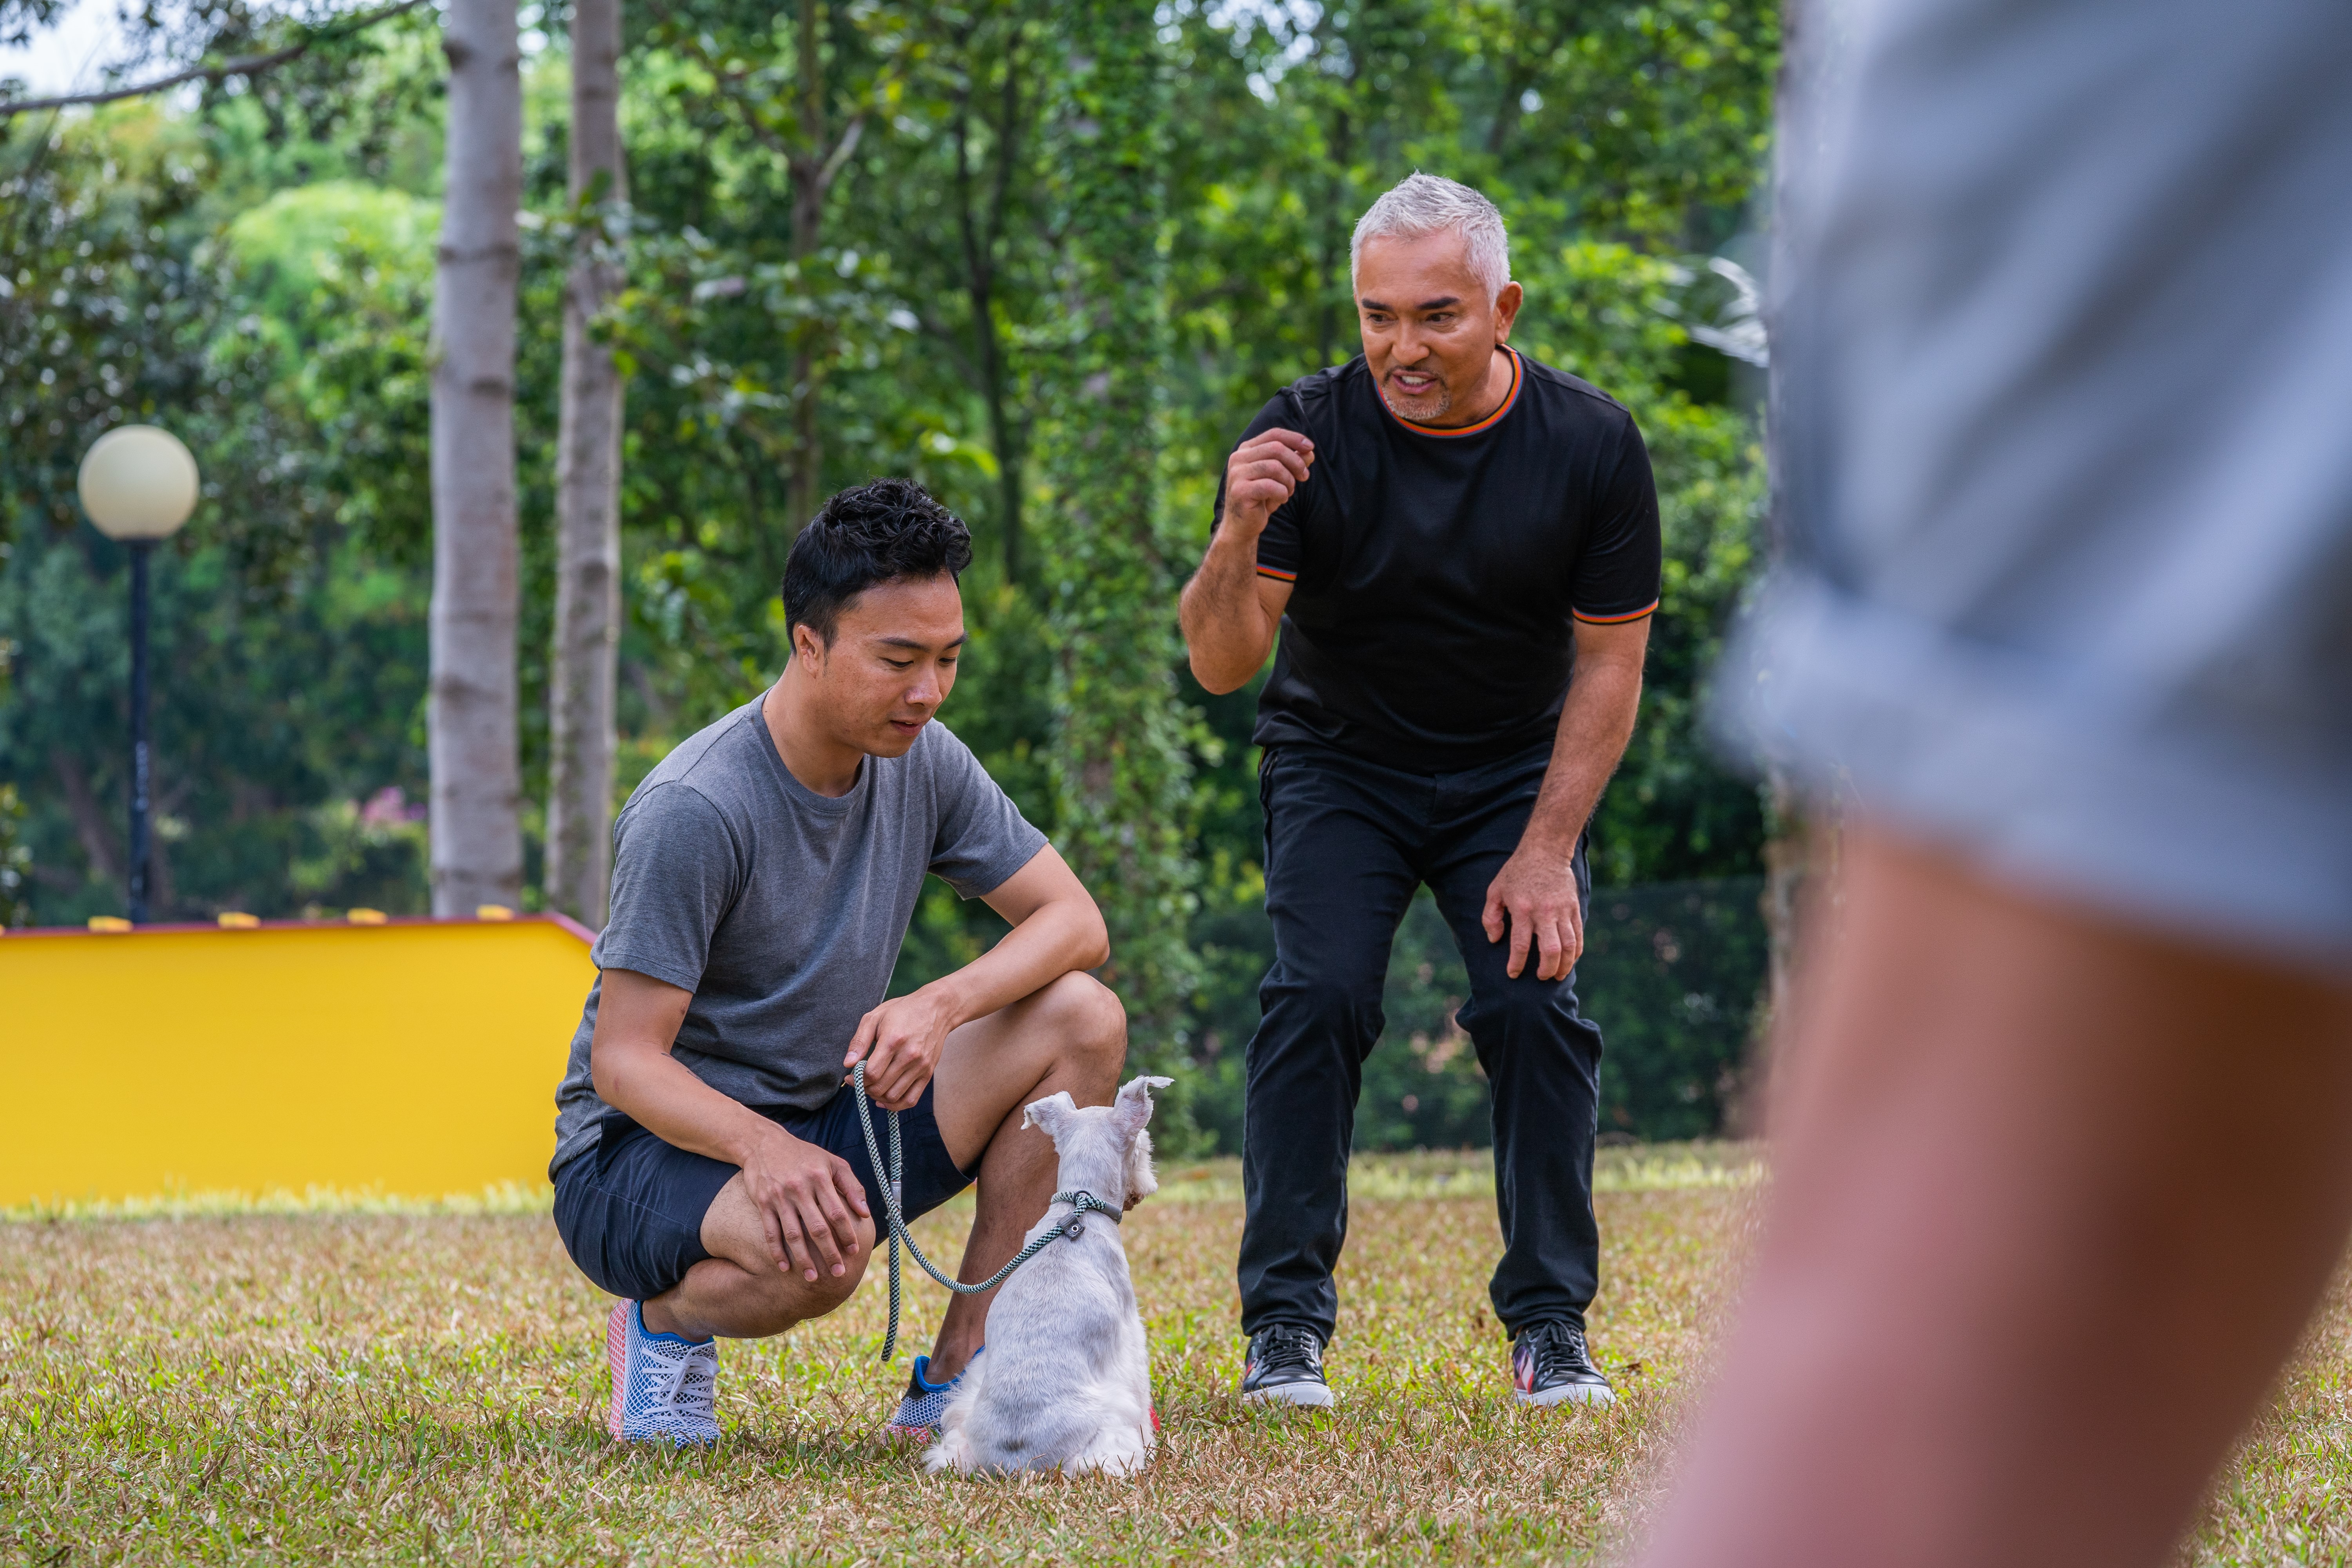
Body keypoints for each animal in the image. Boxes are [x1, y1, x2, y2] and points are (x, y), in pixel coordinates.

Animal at [922, 1072, 1171, 1476]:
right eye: (1143, 1146)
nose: (1145, 1189)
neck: (1079, 1206)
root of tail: (1018, 1461)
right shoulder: (1131, 1335)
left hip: (965, 1412)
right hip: (1109, 1429)